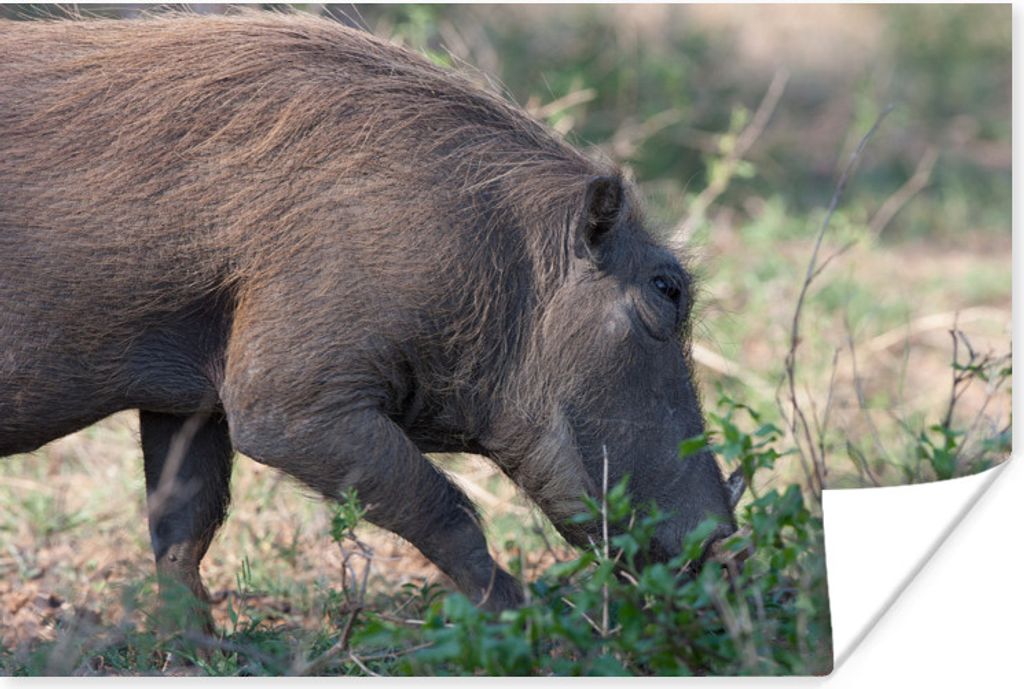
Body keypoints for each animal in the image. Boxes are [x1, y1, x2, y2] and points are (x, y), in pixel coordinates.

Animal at [0, 11, 742, 624]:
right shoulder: (291, 406)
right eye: (667, 290)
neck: (500, 260)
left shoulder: (190, 403)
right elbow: (447, 512)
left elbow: (183, 531)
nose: (726, 554)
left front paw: (196, 654)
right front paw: (524, 628)